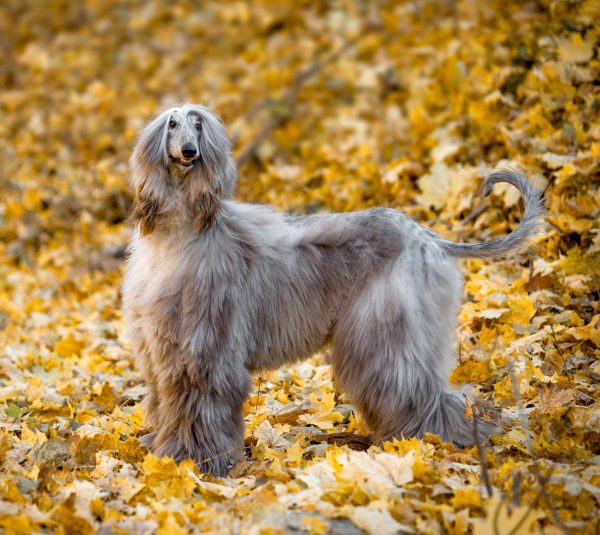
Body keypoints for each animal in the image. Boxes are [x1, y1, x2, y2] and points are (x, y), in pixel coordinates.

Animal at [122, 102, 544, 476]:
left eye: (198, 126)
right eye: (172, 125)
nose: (189, 152)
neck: (181, 235)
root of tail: (426, 236)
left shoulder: (206, 345)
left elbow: (199, 403)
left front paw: (195, 460)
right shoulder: (160, 342)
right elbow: (166, 401)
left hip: (385, 330)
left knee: (418, 388)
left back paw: (440, 441)